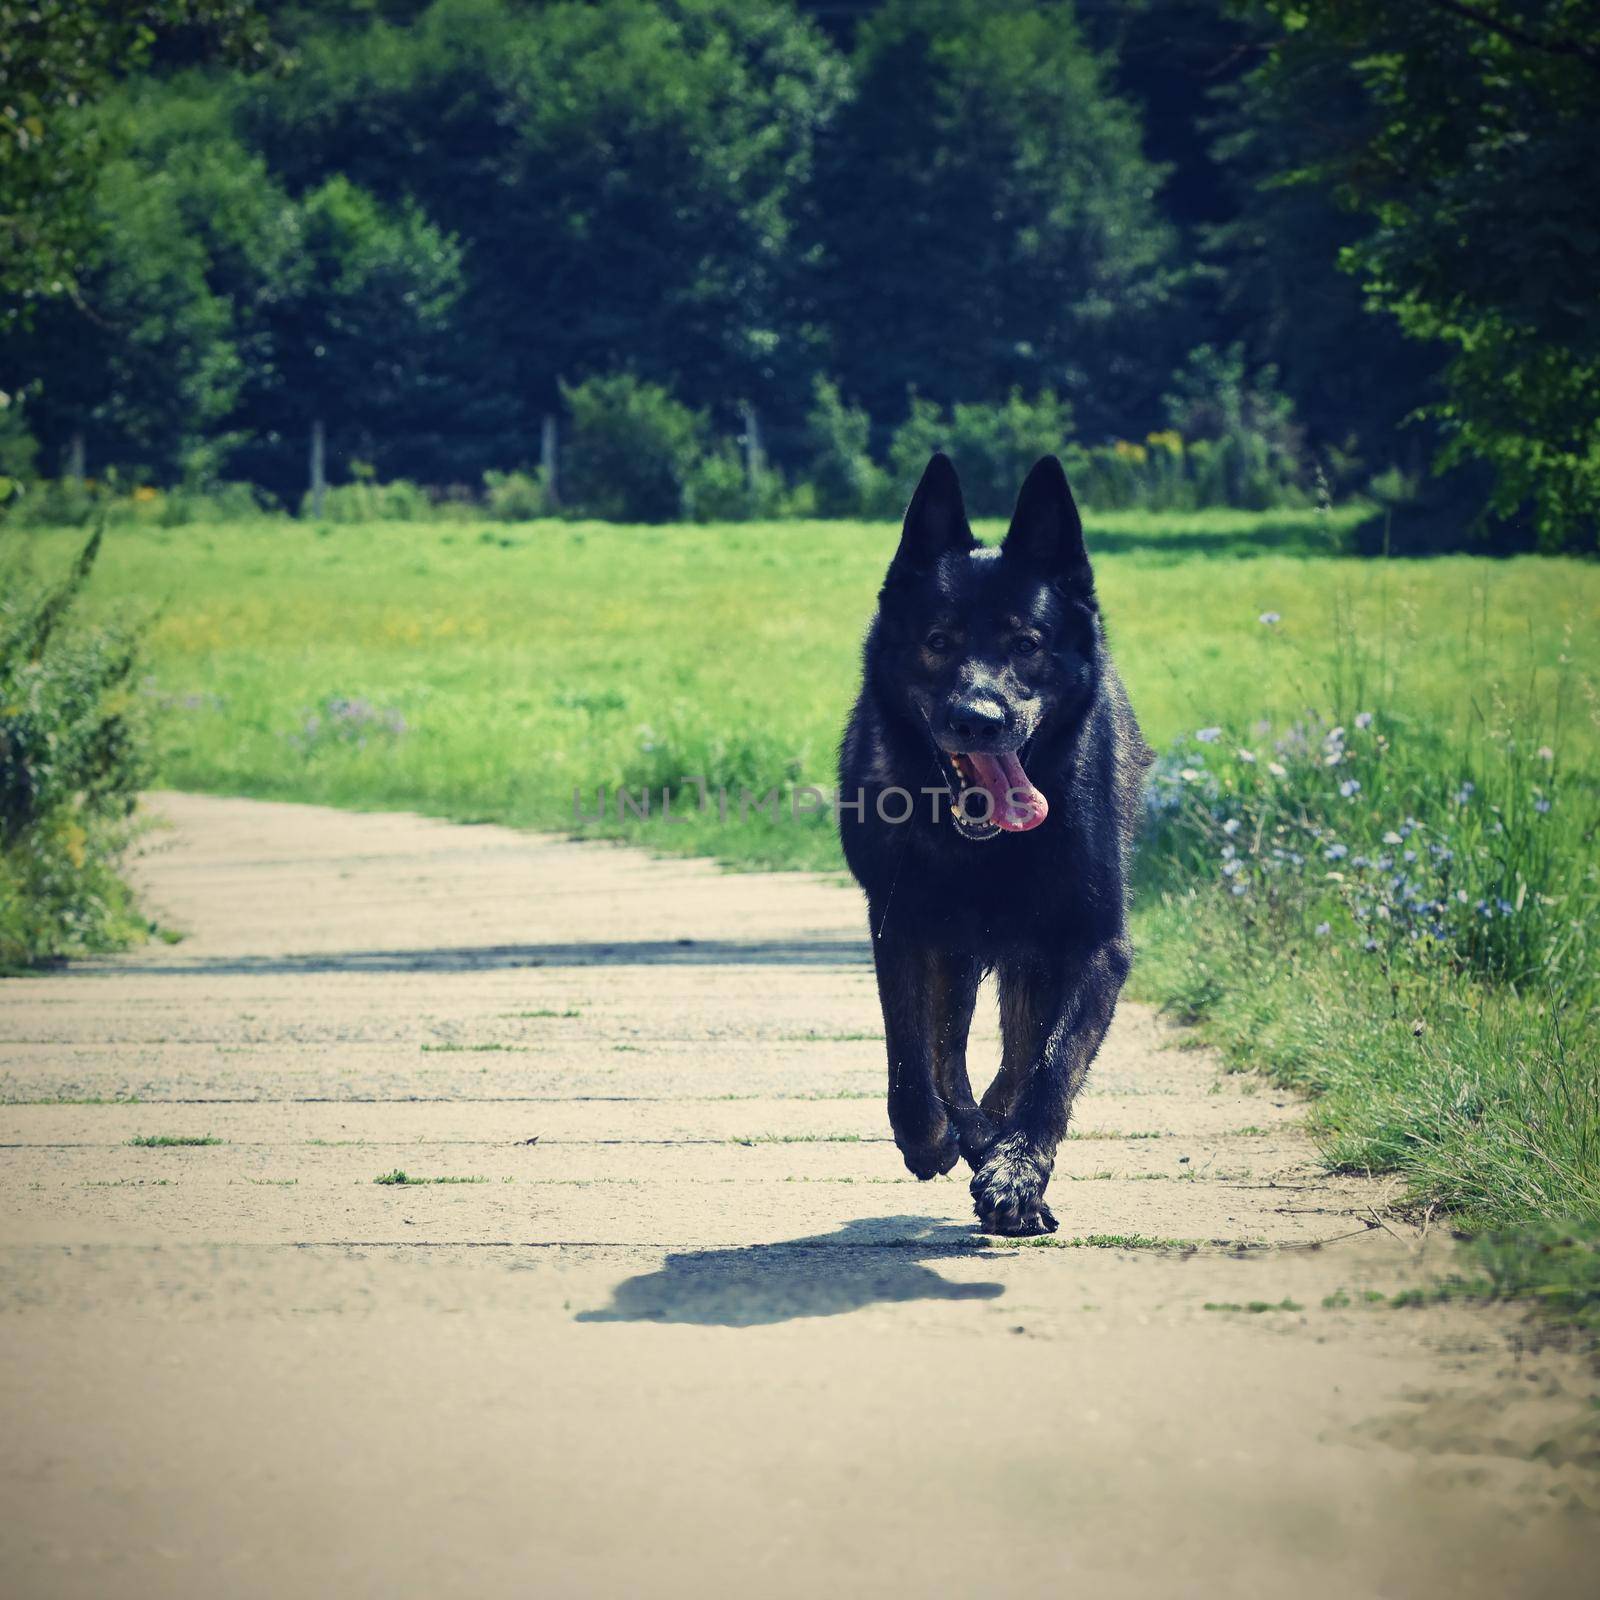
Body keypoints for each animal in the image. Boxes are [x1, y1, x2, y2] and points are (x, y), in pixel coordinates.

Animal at [838, 451, 1152, 1235]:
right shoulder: (902, 928)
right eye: (938, 641)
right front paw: (935, 1141)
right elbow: (913, 1058)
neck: (984, 849)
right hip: (958, 950)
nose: (979, 720)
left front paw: (1017, 1174)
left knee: (1015, 1055)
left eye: (1026, 644)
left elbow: (1050, 1067)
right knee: (949, 1053)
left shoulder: (1094, 943)